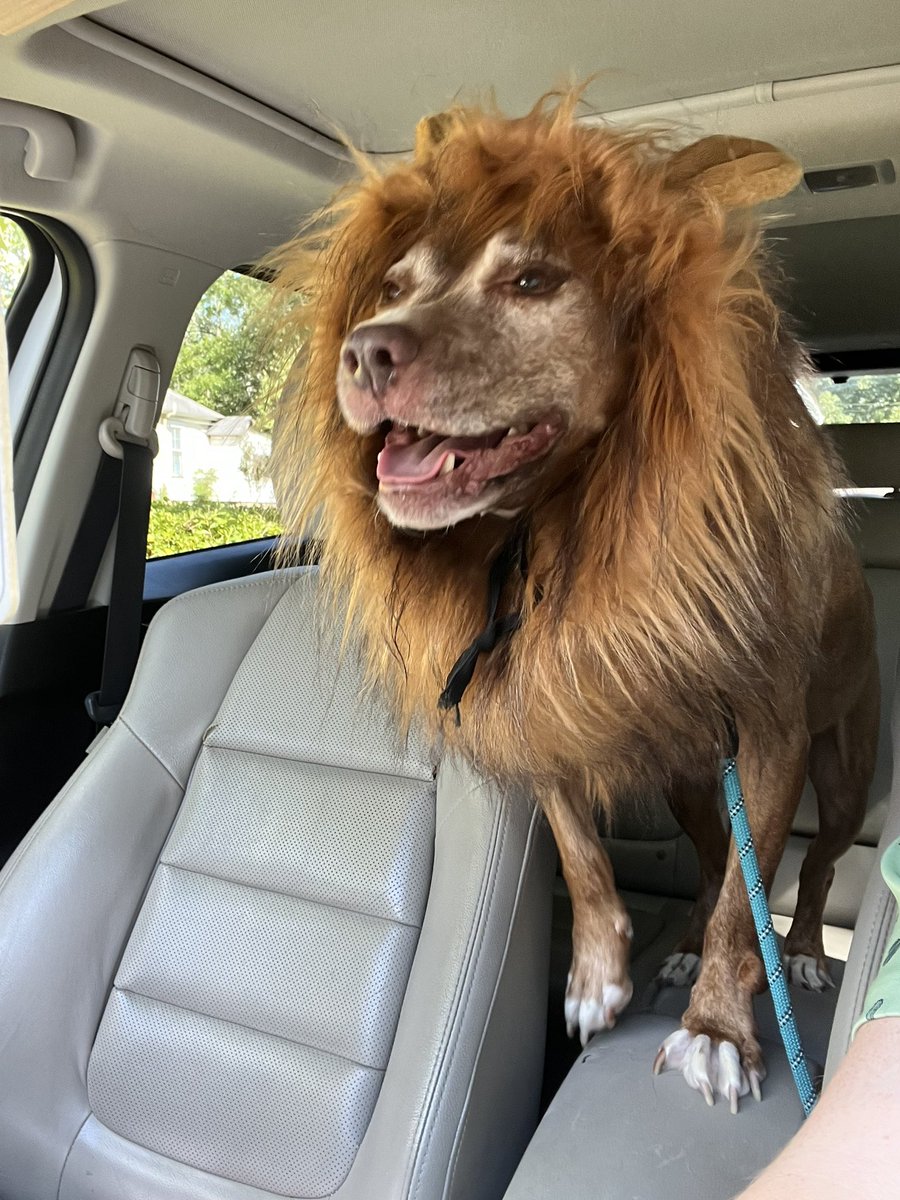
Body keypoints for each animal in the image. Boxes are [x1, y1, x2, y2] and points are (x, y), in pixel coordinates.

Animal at [266, 93, 879, 1113]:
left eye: (533, 279)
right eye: (392, 284)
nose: (362, 350)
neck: (548, 527)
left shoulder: (770, 736)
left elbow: (740, 909)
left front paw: (719, 1027)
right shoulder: (542, 693)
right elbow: (580, 844)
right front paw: (600, 973)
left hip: (841, 768)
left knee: (816, 862)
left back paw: (795, 952)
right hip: (687, 777)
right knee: (711, 861)